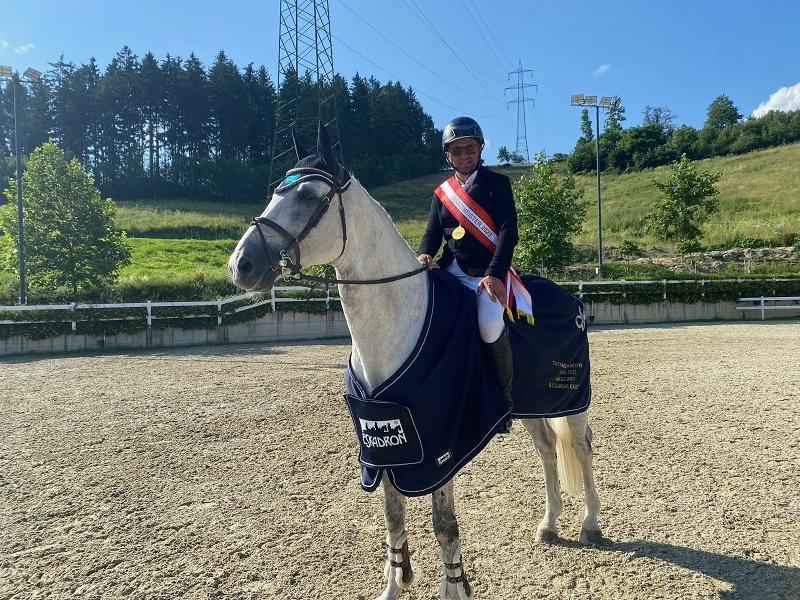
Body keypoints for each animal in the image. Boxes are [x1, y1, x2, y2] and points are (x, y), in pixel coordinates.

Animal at [227, 124, 600, 596]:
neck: (393, 325)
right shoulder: (387, 445)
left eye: (309, 196)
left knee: (582, 449)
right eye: (276, 190)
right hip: (533, 406)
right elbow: (393, 516)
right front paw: (395, 584)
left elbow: (444, 525)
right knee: (548, 448)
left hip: (571, 399)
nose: (241, 265)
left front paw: (455, 587)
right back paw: (549, 524)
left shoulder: (440, 446)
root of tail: (570, 296)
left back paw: (590, 524)